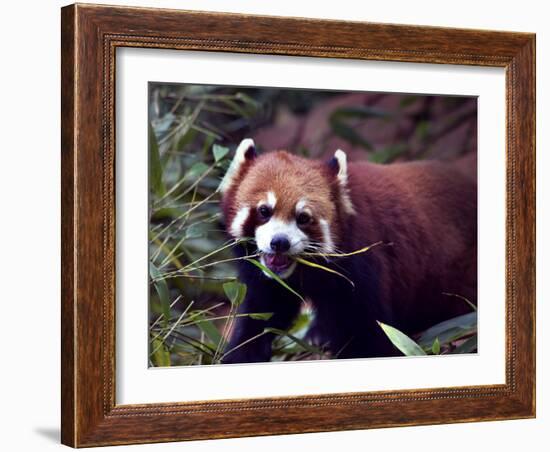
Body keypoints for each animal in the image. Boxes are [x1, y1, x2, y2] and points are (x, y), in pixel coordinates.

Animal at [220, 138, 478, 364]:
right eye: (264, 211)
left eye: (303, 218)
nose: (280, 242)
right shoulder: (267, 278)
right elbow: (262, 312)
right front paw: (240, 353)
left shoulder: (362, 263)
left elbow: (367, 329)